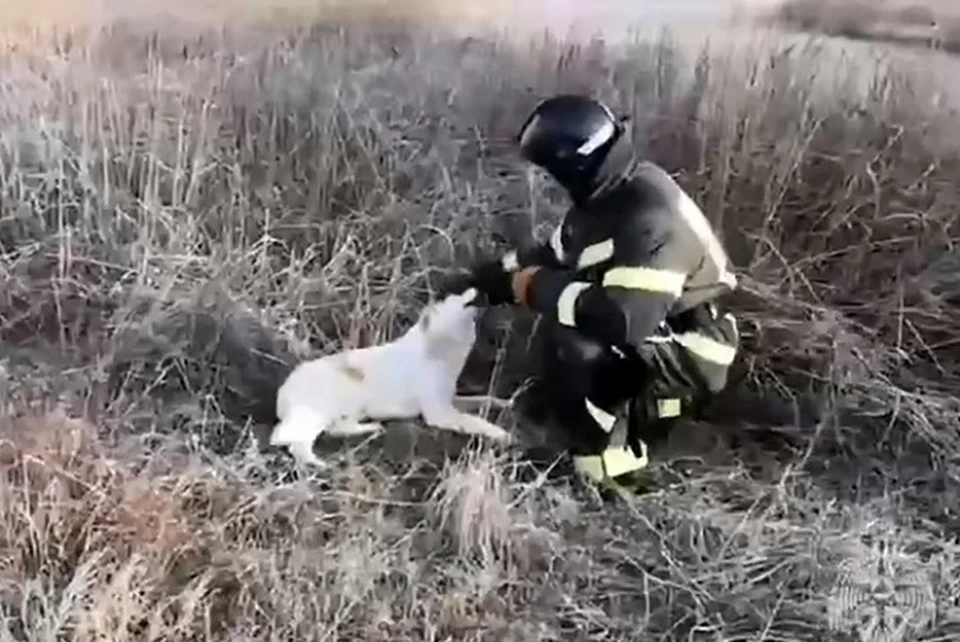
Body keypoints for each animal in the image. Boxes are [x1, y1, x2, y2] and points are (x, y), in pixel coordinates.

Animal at [266, 286, 512, 464]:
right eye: (454, 296)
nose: (478, 289)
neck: (437, 345)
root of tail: (283, 392)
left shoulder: (451, 399)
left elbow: (485, 399)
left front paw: (505, 403)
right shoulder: (439, 413)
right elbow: (476, 421)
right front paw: (503, 434)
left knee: (331, 430)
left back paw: (371, 429)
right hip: (332, 403)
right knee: (291, 440)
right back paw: (320, 465)